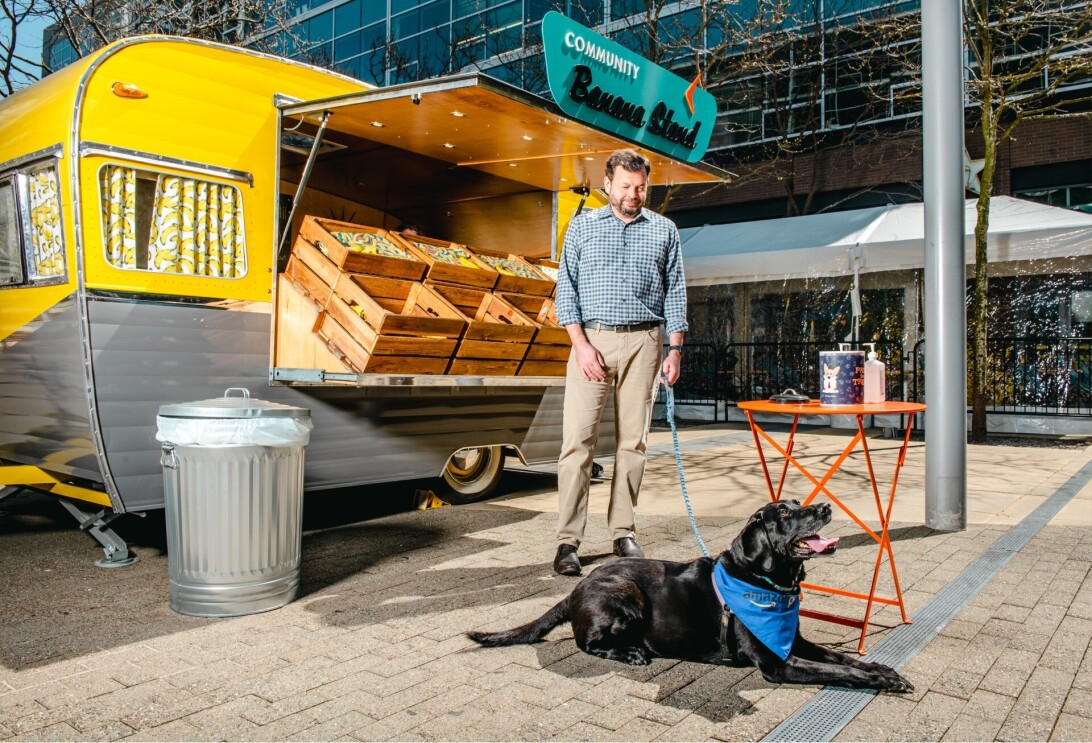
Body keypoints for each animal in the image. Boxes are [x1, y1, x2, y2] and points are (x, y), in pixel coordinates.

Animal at [469, 498, 912, 690]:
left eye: (800, 503)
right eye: (785, 513)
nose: (824, 507)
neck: (765, 582)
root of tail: (578, 586)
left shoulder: (794, 641)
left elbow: (841, 657)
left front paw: (882, 669)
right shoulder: (777, 663)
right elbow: (840, 671)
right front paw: (882, 680)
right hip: (627, 594)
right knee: (588, 643)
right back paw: (631, 653)